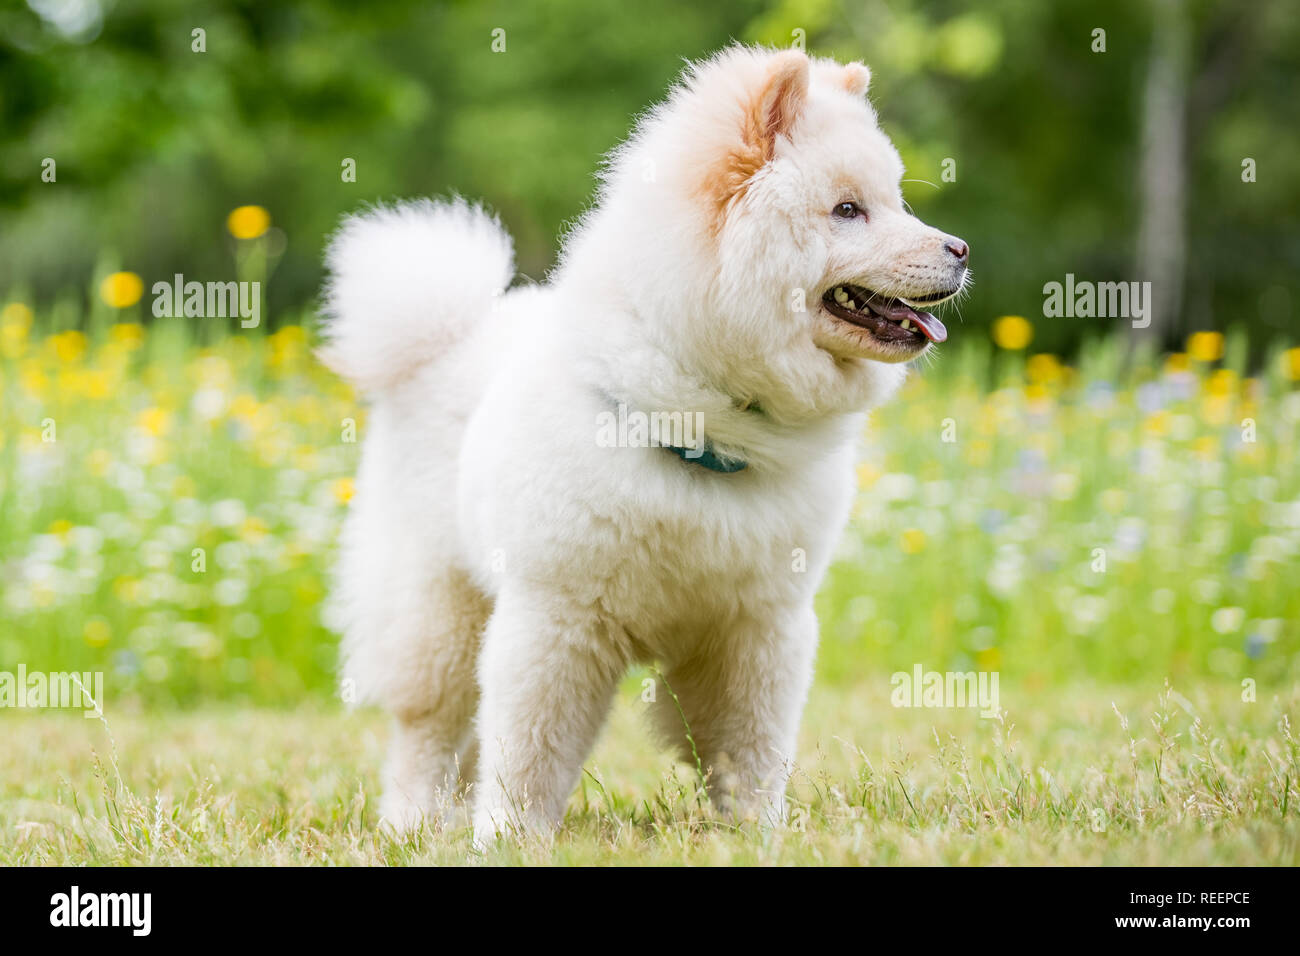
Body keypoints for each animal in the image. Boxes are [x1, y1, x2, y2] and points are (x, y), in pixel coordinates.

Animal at [317, 44, 967, 842]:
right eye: (849, 210)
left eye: (897, 200)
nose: (960, 249)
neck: (705, 425)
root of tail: (448, 337)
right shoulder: (556, 617)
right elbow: (529, 748)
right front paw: (509, 837)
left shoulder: (756, 626)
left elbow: (752, 747)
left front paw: (756, 832)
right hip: (439, 608)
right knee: (430, 729)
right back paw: (416, 822)